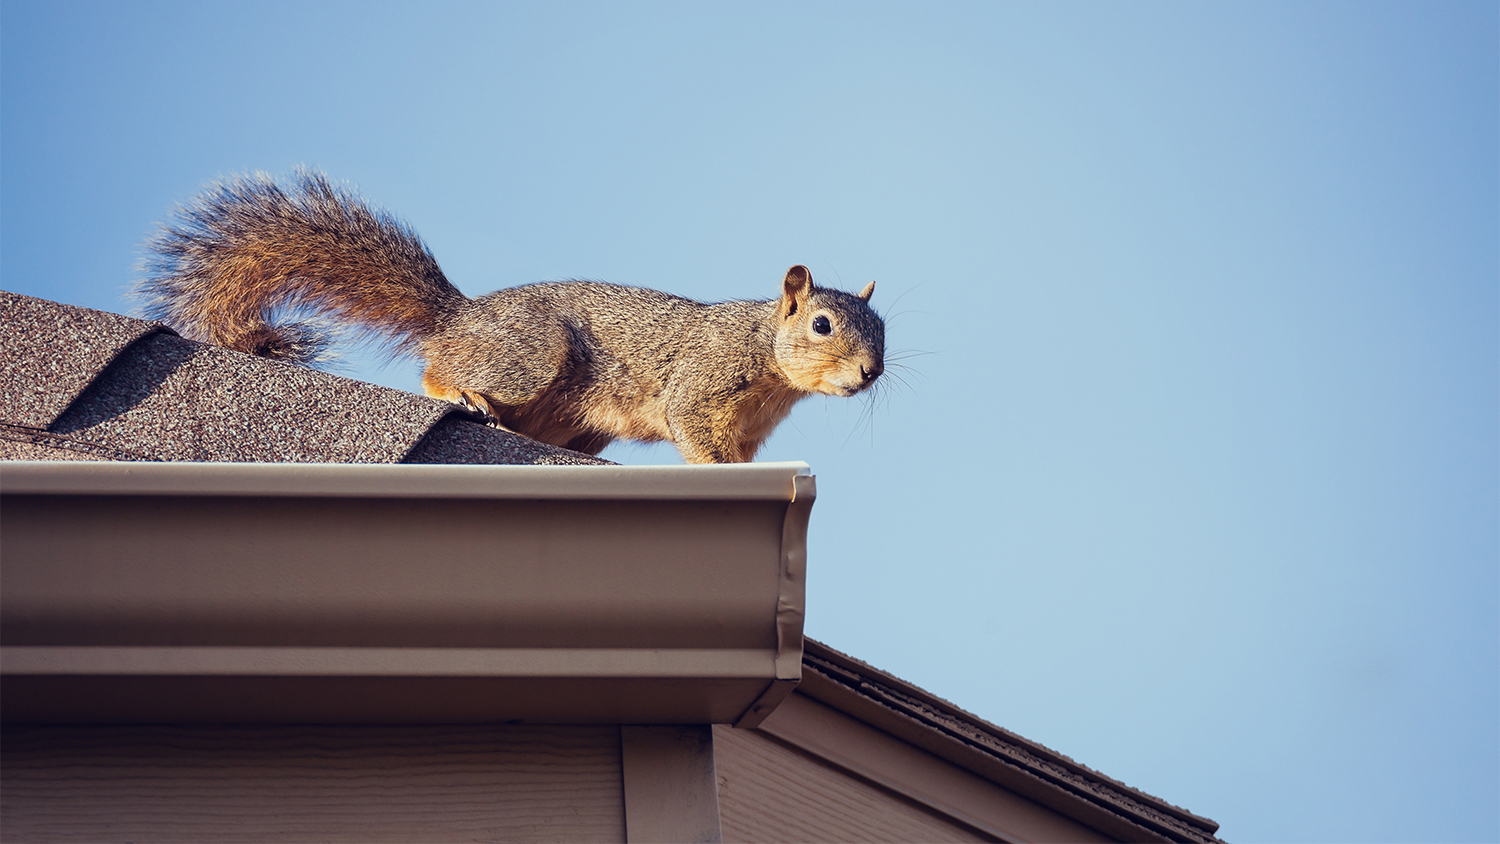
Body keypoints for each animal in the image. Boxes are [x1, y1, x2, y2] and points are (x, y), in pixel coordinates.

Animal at [135, 170, 882, 461]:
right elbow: (691, 427)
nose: (871, 373)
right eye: (822, 325)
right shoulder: (701, 383)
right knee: (439, 369)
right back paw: (462, 393)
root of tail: (459, 317)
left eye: (882, 331)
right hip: (529, 357)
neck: (767, 357)